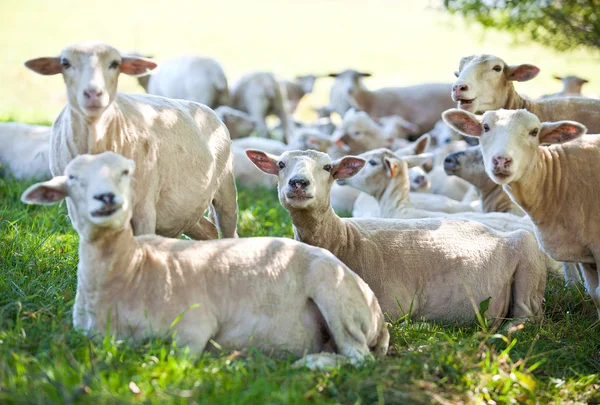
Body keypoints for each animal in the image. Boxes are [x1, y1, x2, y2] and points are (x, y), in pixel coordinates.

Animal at [19, 152, 390, 370]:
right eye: (72, 177)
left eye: (125, 172)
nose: (106, 198)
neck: (130, 269)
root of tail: (377, 312)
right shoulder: (86, 337)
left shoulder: (193, 329)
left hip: (334, 296)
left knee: (358, 357)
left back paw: (308, 363)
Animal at [25, 41, 238, 240]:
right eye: (65, 63)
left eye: (115, 63)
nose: (93, 94)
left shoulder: (144, 206)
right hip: (183, 209)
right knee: (209, 230)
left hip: (225, 188)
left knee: (228, 230)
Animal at [246, 148, 548, 326]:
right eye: (281, 164)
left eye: (328, 167)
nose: (298, 183)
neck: (342, 239)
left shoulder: (389, 306)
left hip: (528, 257)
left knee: (526, 318)